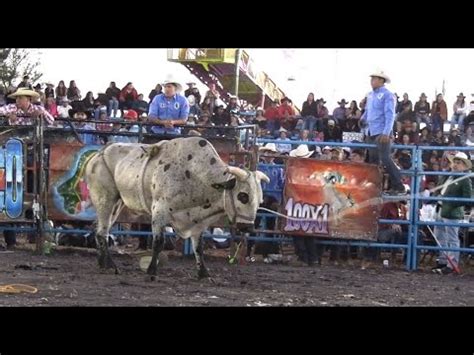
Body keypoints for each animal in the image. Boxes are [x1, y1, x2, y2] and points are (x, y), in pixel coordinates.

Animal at [84, 138, 268, 280]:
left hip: (117, 203)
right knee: (102, 231)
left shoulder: (197, 222)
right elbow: (158, 242)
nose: (249, 228)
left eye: (260, 200)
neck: (195, 174)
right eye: (243, 196)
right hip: (105, 198)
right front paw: (152, 271)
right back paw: (111, 265)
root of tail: (98, 154)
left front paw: (203, 274)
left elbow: (198, 248)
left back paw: (103, 263)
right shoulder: (159, 212)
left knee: (99, 229)